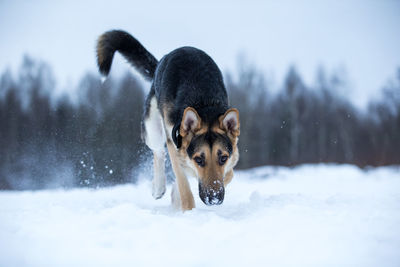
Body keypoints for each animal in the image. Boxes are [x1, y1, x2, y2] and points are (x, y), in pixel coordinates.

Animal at [96, 30, 241, 211]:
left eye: (223, 158)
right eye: (199, 159)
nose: (214, 199)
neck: (203, 105)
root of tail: (163, 60)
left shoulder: (231, 156)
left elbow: (229, 174)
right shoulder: (174, 142)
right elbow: (184, 184)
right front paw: (188, 210)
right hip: (153, 129)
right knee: (159, 151)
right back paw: (158, 187)